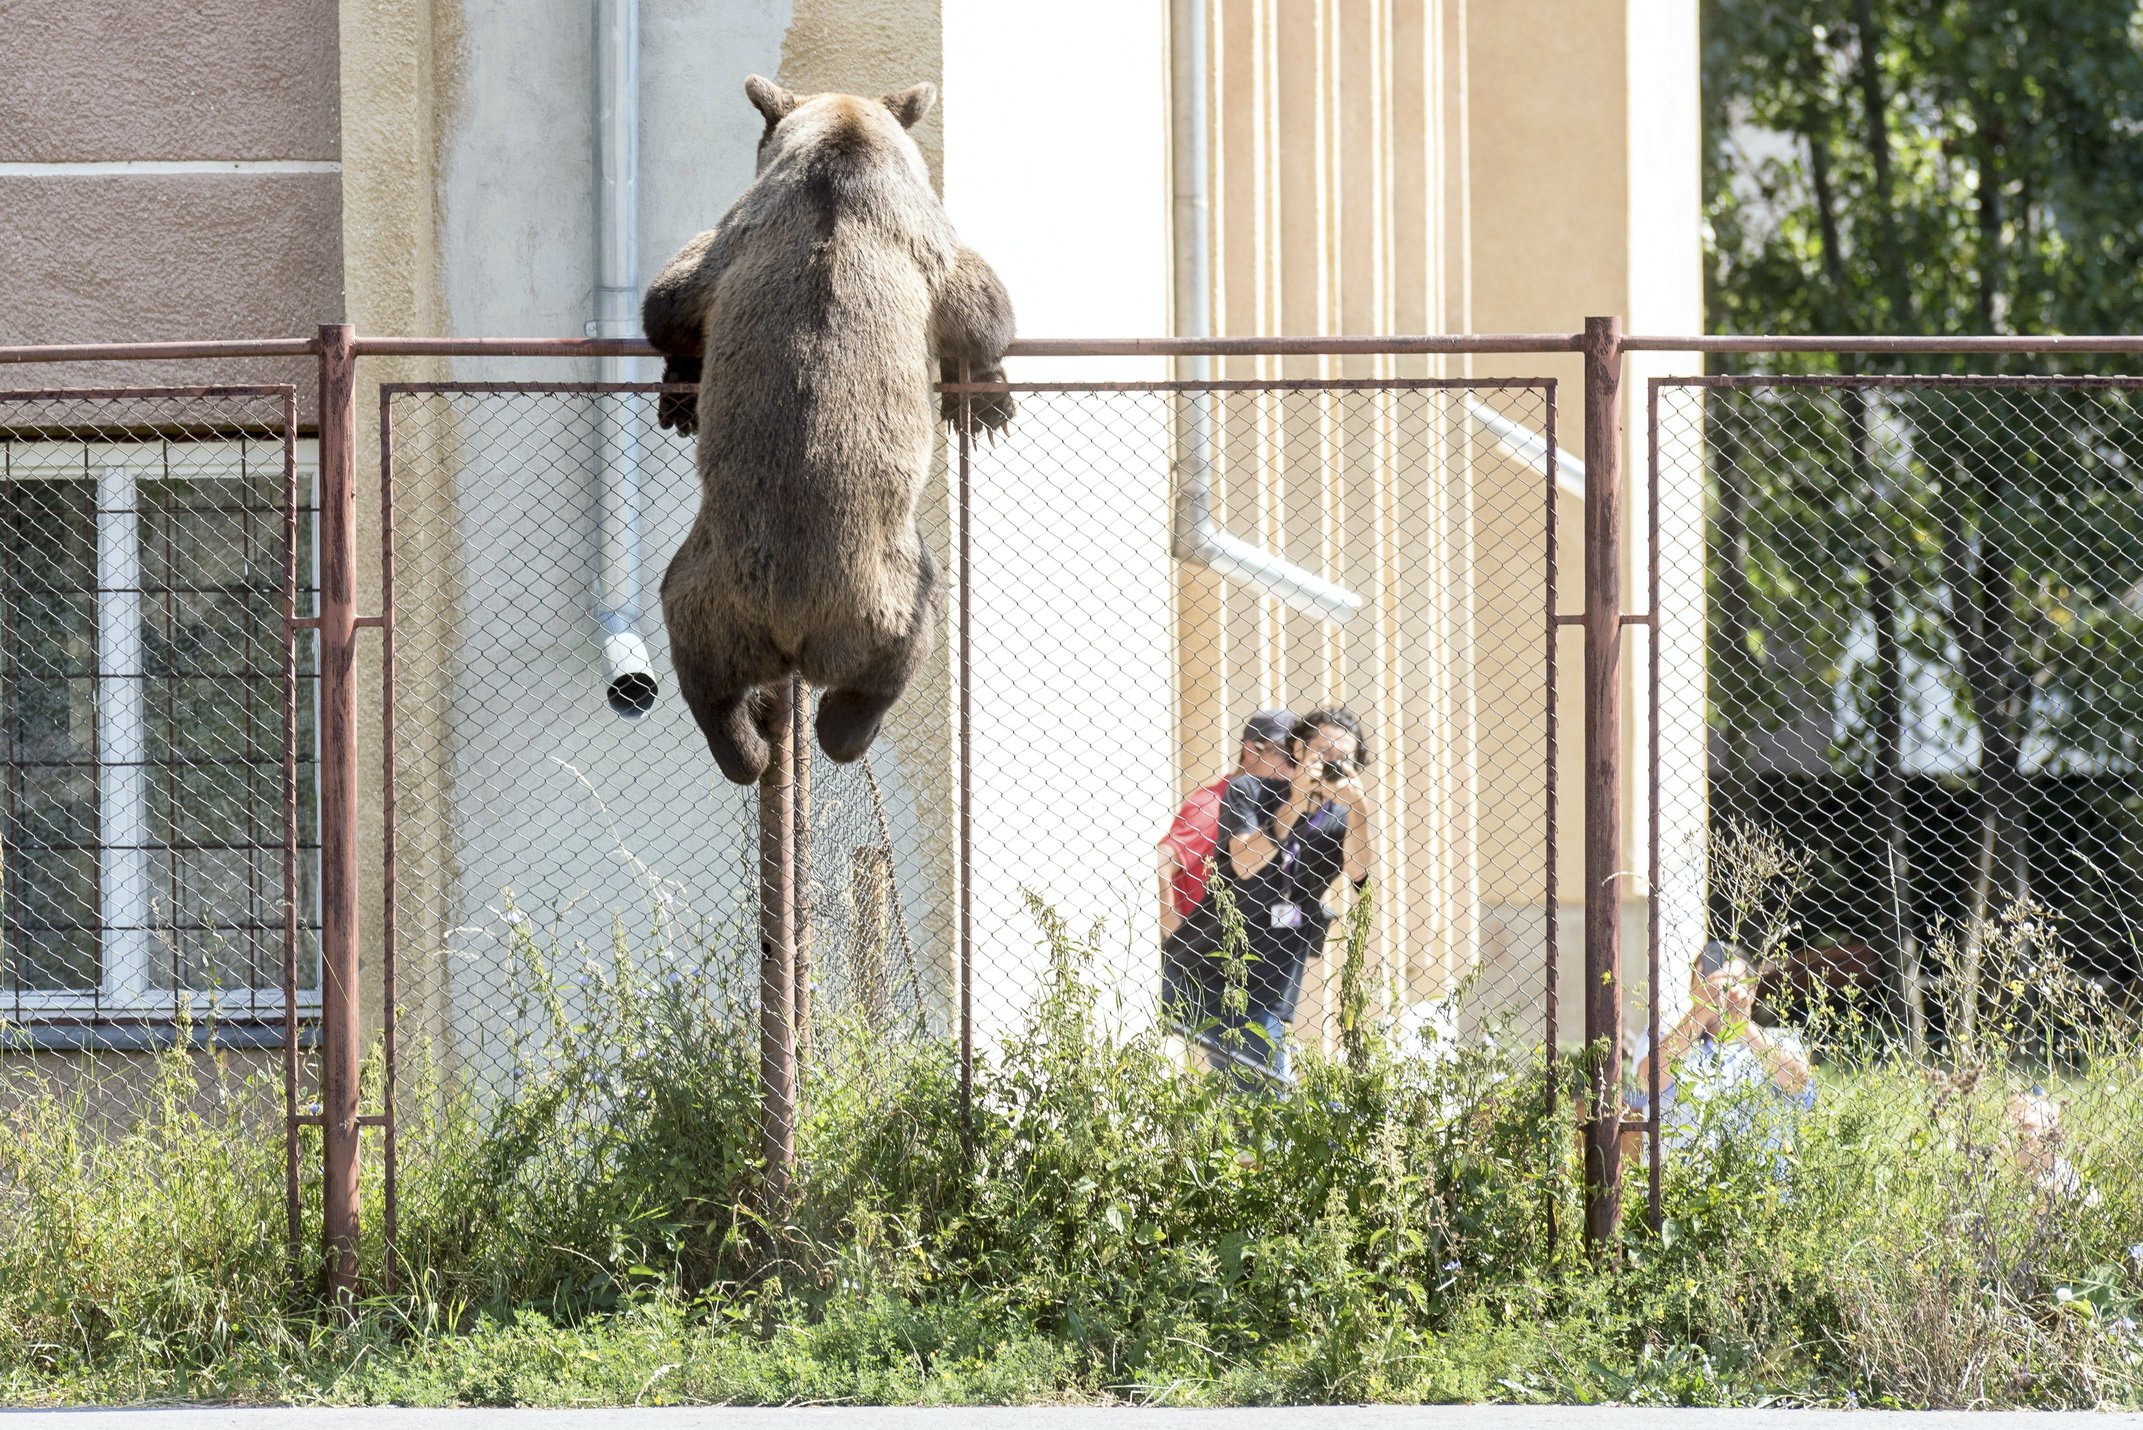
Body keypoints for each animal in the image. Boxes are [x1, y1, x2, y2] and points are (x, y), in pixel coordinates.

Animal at [643, 74, 1016, 785]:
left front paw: (680, 396)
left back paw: (748, 740)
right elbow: (981, 303)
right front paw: (987, 399)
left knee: (704, 674)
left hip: (706, 587)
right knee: (901, 648)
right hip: (882, 590)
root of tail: (790, 630)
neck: (842, 145)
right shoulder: (916, 237)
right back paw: (838, 727)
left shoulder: (731, 250)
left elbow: (670, 306)